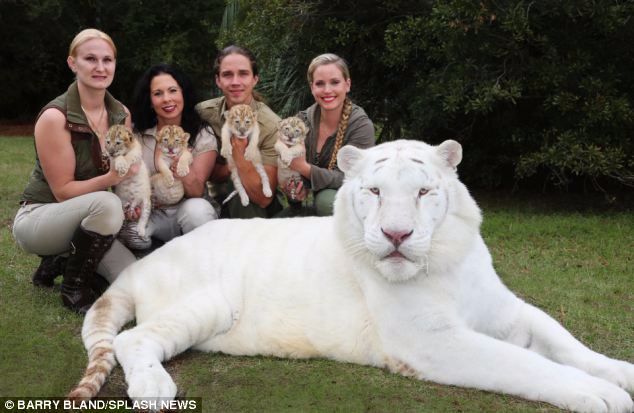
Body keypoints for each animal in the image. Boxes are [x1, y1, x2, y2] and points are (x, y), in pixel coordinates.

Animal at [69, 139, 632, 412]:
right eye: (376, 191)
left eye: (423, 192)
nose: (397, 234)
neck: (444, 261)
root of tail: (141, 266)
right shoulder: (430, 341)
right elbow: (524, 364)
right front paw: (601, 396)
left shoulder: (505, 310)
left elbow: (565, 342)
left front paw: (620, 373)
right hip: (205, 303)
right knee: (133, 339)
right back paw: (154, 389)